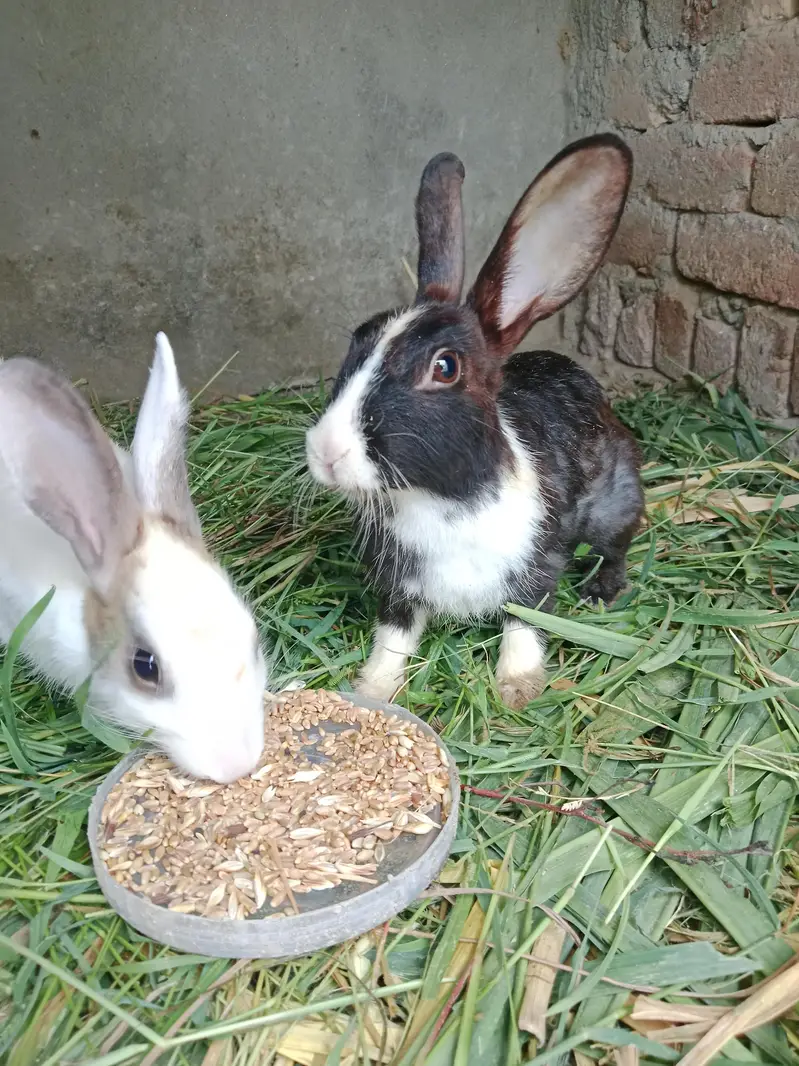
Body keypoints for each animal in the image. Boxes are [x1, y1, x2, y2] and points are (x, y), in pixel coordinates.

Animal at [305, 133, 644, 710]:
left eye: (445, 367)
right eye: (358, 340)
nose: (326, 453)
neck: (439, 499)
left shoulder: (538, 566)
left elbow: (524, 626)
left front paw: (517, 691)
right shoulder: (400, 589)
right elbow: (393, 637)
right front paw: (373, 688)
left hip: (616, 505)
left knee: (614, 548)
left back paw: (600, 593)